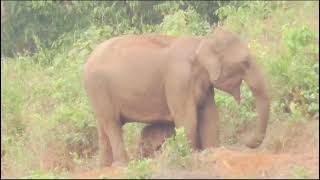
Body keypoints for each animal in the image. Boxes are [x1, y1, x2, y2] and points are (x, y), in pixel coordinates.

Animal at [83, 28, 270, 167]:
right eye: (245, 62)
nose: (246, 142)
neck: (201, 42)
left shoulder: (205, 86)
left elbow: (210, 116)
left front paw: (212, 151)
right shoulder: (178, 80)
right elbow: (187, 119)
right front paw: (190, 154)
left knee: (103, 127)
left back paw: (105, 166)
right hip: (98, 88)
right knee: (112, 124)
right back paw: (123, 164)